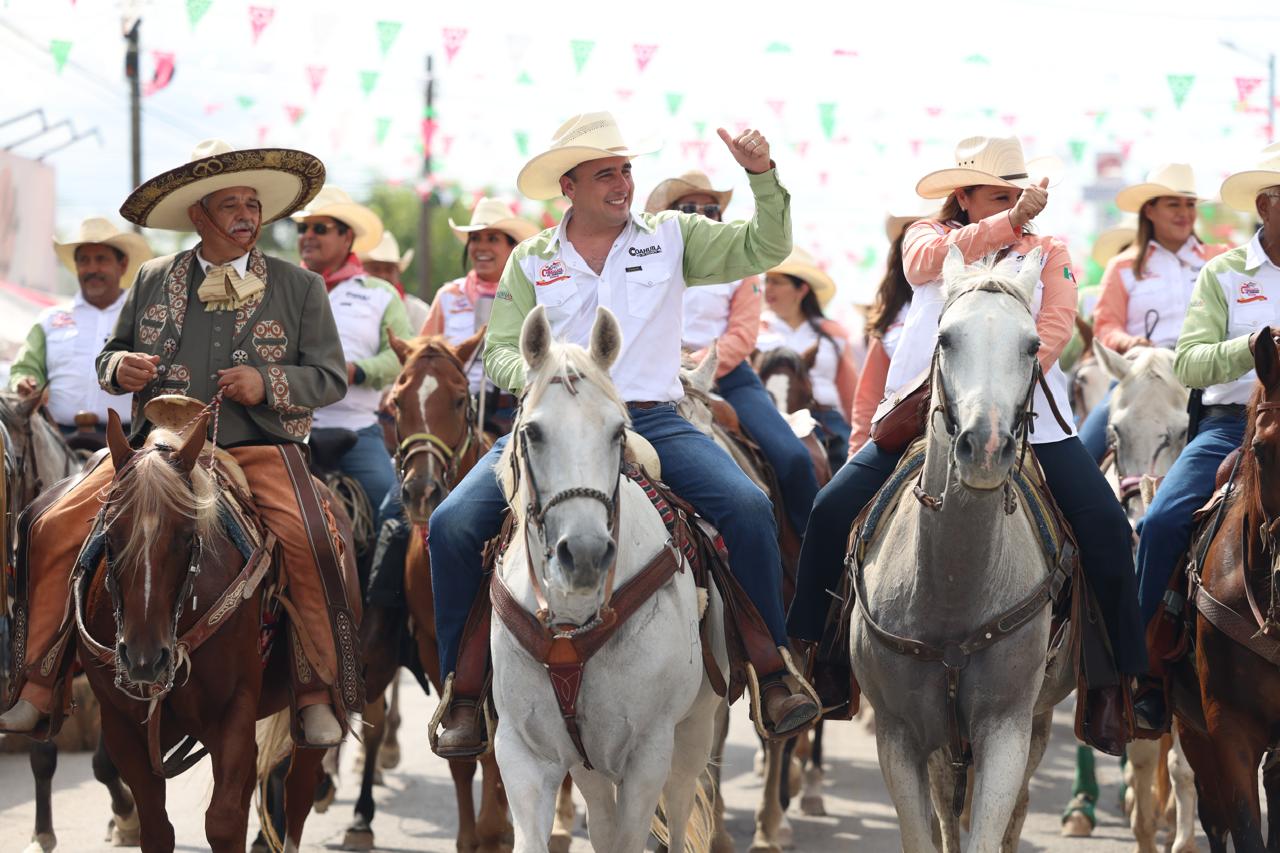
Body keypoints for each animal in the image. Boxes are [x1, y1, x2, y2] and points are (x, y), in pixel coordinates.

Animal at [74, 409, 330, 845]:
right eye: (110, 533)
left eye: (186, 534)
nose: (144, 659)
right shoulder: (121, 726)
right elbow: (156, 827)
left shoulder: (233, 709)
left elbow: (224, 821)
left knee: (298, 790)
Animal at [345, 326, 514, 850]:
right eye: (398, 402)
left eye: (460, 400)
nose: (421, 492)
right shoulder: (436, 644)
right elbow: (464, 752)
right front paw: (473, 836)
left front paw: (497, 829)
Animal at [488, 306, 727, 850]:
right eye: (533, 432)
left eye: (618, 431)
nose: (585, 554)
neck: (572, 622)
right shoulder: (523, 753)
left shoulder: (648, 754)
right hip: (589, 763)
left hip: (694, 730)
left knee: (679, 809)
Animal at [855, 247, 1075, 850]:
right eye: (947, 338)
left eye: (1033, 345)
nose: (987, 448)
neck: (953, 587)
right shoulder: (897, 735)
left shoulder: (1006, 730)